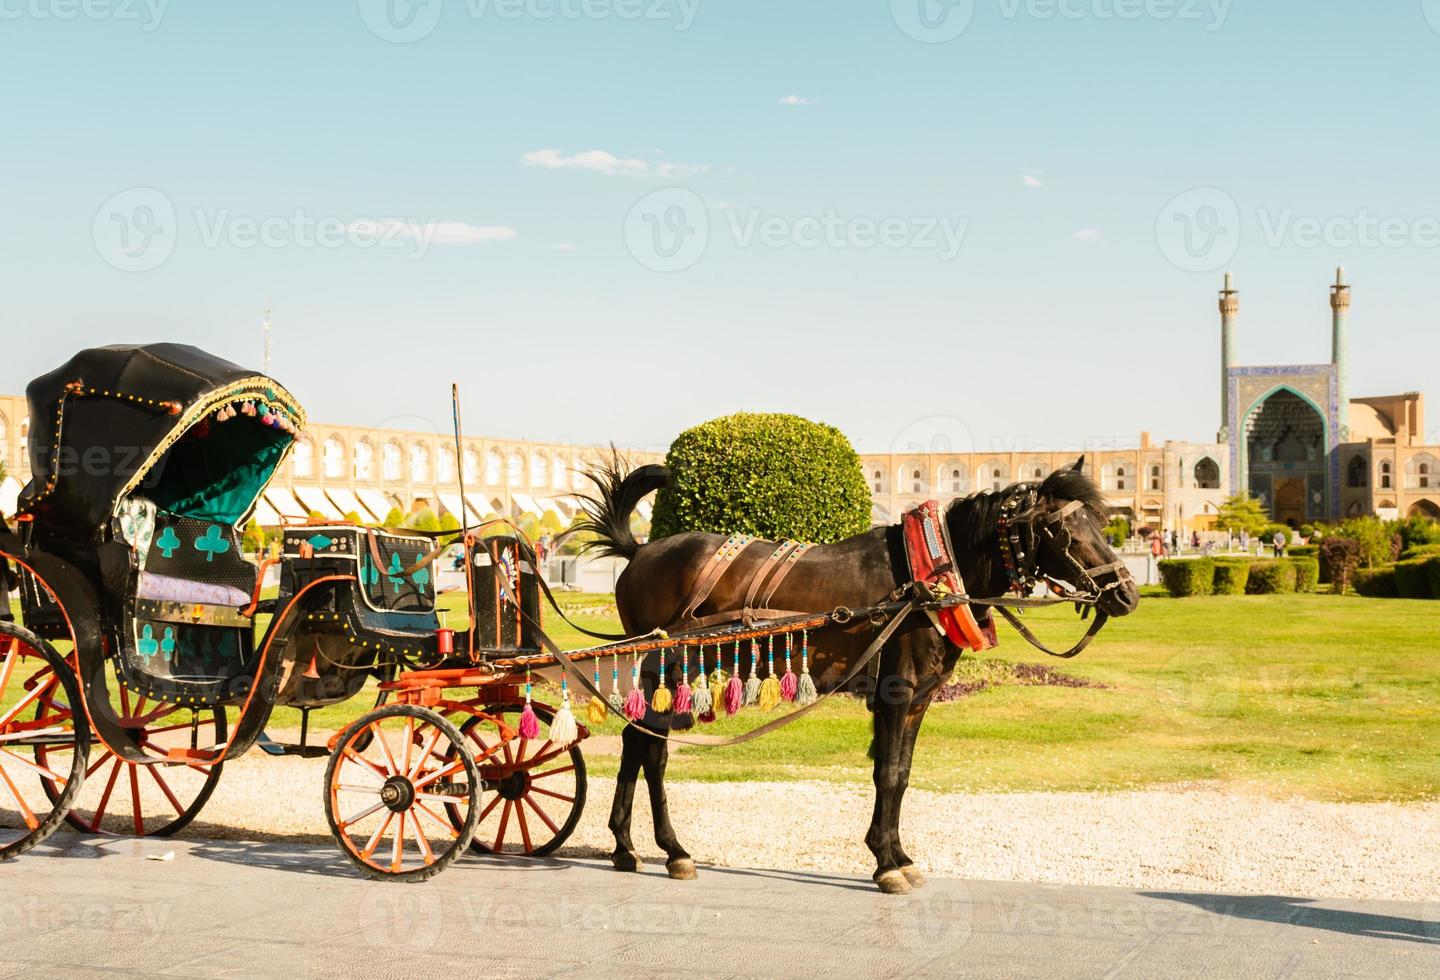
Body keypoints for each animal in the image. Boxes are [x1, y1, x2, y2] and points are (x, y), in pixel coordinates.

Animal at [573, 454, 1134, 892]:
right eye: (1064, 529)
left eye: (1102, 523)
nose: (1126, 593)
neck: (925, 581)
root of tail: (642, 549)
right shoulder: (897, 692)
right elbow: (886, 773)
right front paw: (886, 864)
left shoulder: (920, 698)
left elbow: (901, 773)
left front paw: (898, 855)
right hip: (665, 664)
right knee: (653, 750)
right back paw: (672, 849)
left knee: (637, 740)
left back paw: (626, 848)